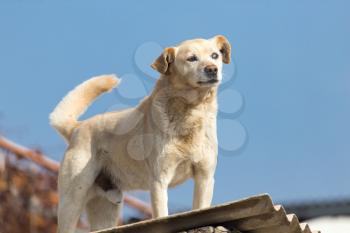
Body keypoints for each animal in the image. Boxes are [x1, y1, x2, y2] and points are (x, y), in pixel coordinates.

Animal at [49, 35, 230, 233]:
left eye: (215, 55)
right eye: (191, 58)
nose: (212, 69)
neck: (190, 112)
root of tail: (76, 127)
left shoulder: (204, 177)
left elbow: (200, 208)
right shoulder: (159, 180)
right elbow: (162, 215)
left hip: (105, 208)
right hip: (72, 200)